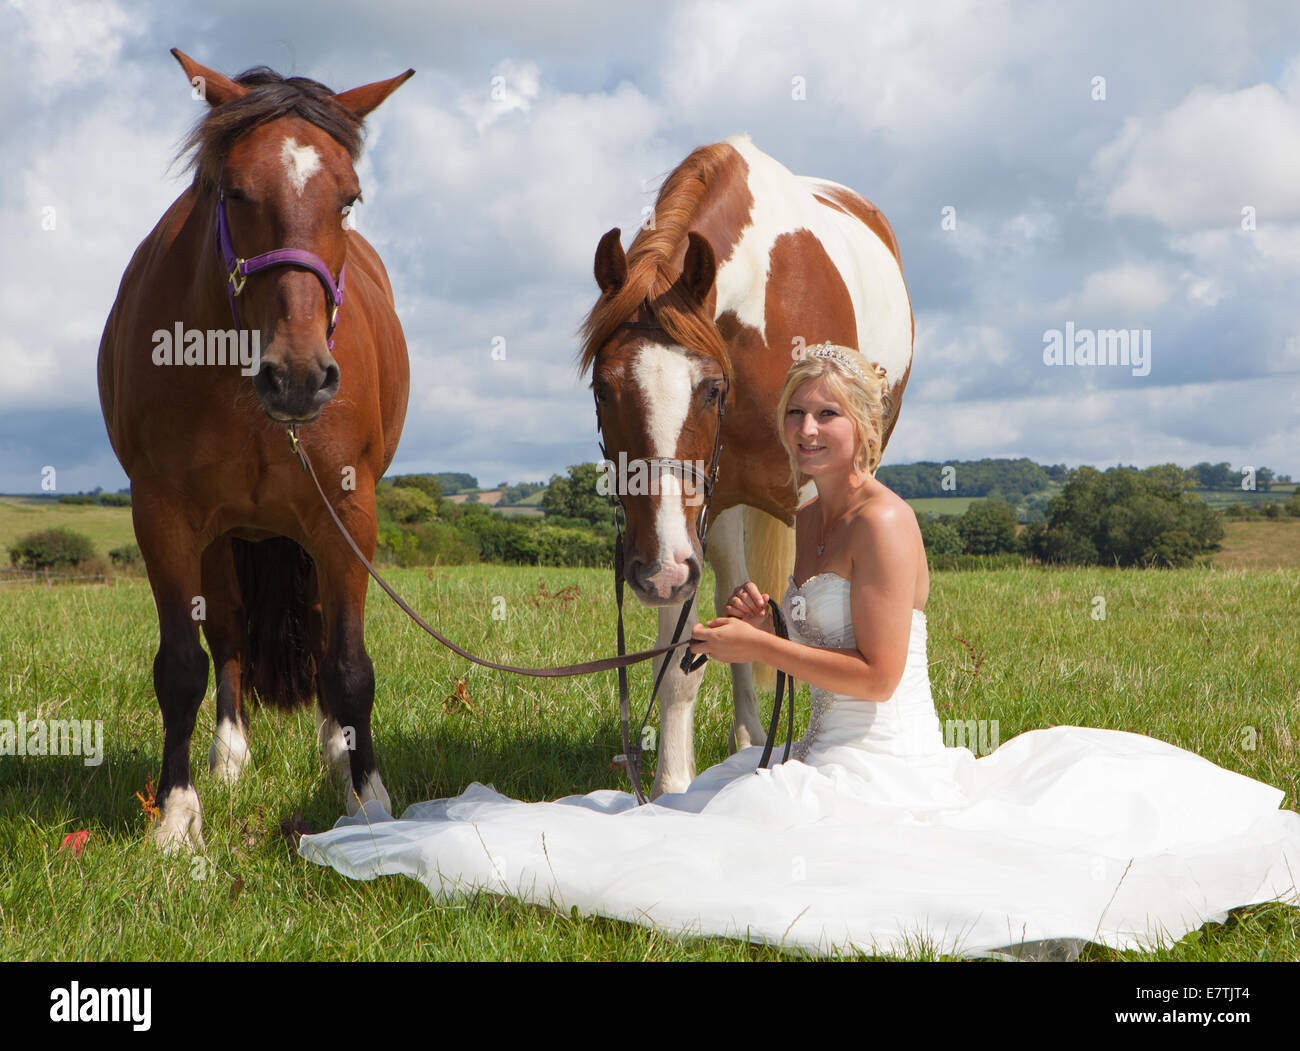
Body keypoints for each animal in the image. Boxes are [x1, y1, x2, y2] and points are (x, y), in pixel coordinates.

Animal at [96, 53, 410, 848]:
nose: (298, 374)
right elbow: (182, 666)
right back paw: (229, 755)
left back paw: (335, 749)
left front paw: (369, 802)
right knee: (231, 636)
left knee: (325, 633)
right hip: (226, 535)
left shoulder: (346, 511)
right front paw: (177, 819)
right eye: (233, 192)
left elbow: (350, 665)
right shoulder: (166, 516)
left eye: (349, 201)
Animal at [579, 135, 915, 801]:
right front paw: (673, 787)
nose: (656, 573)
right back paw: (748, 739)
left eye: (711, 389)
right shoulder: (686, 529)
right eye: (603, 389)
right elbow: (678, 661)